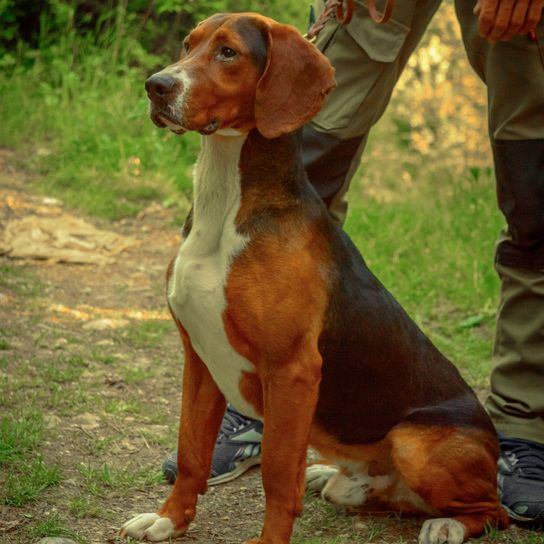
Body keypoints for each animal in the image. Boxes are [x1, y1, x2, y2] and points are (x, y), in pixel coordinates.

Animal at [121, 11, 508, 544]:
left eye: (227, 52)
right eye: (187, 44)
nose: (156, 86)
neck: (227, 205)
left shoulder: (292, 370)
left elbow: (278, 474)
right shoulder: (198, 358)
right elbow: (190, 451)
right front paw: (168, 518)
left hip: (413, 442)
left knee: (494, 510)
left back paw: (446, 524)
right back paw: (339, 478)